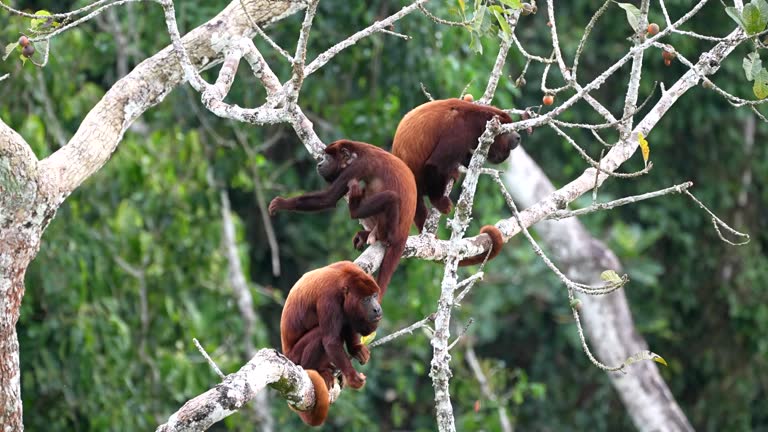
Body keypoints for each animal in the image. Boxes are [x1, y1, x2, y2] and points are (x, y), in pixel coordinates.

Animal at [268, 140, 416, 296]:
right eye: (323, 157)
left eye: (328, 158)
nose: (319, 164)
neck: (358, 151)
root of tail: (403, 233)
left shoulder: (356, 167)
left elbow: (329, 198)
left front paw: (283, 203)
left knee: (390, 197)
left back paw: (361, 215)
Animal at [280, 262, 382, 426]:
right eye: (366, 300)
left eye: (374, 296)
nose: (377, 308)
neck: (345, 279)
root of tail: (286, 354)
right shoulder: (328, 299)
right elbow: (330, 341)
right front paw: (353, 377)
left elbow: (348, 321)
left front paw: (356, 349)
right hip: (296, 356)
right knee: (320, 334)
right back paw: (318, 370)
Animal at [390, 98, 520, 233]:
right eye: (508, 131)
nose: (518, 137)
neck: (476, 120)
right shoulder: (459, 129)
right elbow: (435, 164)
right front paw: (439, 202)